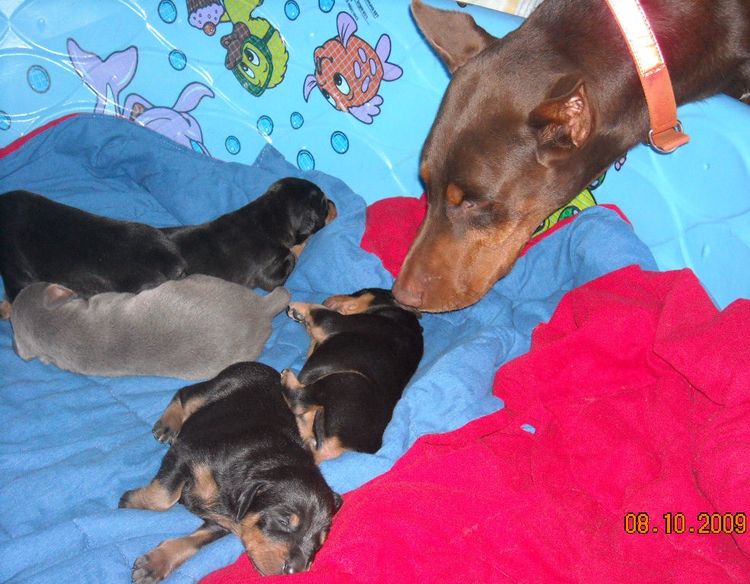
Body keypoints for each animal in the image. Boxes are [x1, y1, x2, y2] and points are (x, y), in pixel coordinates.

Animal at [0, 178, 336, 310]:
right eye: (321, 203)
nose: (334, 202)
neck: (267, 215)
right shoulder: (269, 274)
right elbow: (291, 256)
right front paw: (303, 243)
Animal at [119, 362, 342, 580]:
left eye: (320, 541)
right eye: (283, 521)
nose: (294, 571)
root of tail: (265, 368)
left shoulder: (226, 522)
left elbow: (197, 540)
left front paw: (155, 564)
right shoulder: (185, 453)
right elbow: (164, 497)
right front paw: (130, 501)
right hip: (221, 385)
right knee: (185, 393)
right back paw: (168, 424)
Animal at [282, 290, 426, 464]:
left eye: (359, 292)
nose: (326, 299)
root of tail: (339, 448)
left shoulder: (335, 321)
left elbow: (317, 310)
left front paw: (298, 308)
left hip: (347, 380)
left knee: (298, 400)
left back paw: (286, 376)